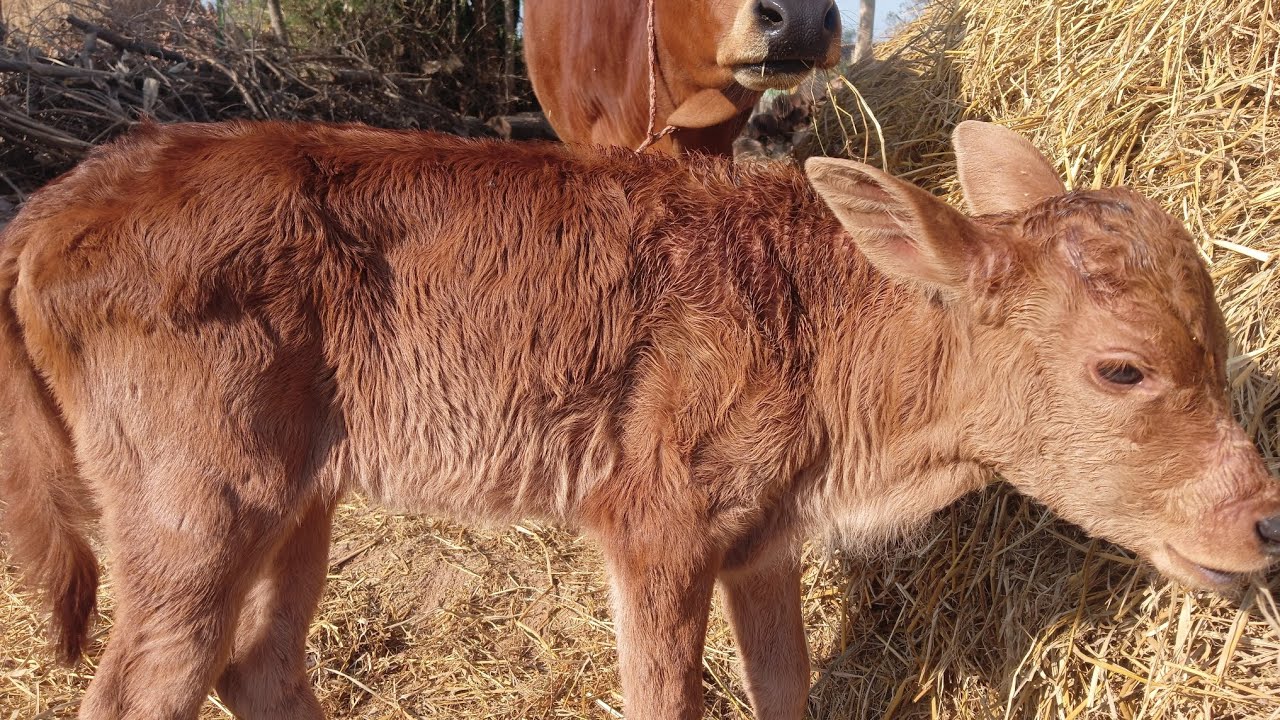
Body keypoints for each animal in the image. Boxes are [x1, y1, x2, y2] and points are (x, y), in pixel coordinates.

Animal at [1, 120, 1277, 720]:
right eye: (1121, 369)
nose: (1264, 524)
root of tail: (52, 210)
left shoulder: (762, 541)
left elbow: (784, 690)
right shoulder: (654, 522)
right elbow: (670, 697)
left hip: (299, 498)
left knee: (256, 661)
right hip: (195, 503)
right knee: (148, 682)